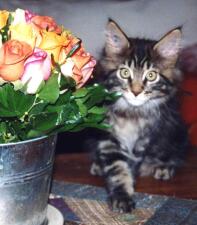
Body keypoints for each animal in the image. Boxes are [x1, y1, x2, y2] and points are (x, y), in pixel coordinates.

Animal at [90, 19, 189, 213]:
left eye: (151, 76)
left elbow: (132, 163)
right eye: (124, 73)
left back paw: (163, 167)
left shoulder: (144, 138)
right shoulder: (107, 135)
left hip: (176, 131)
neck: (130, 113)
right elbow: (117, 168)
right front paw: (121, 196)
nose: (136, 92)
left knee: (175, 154)